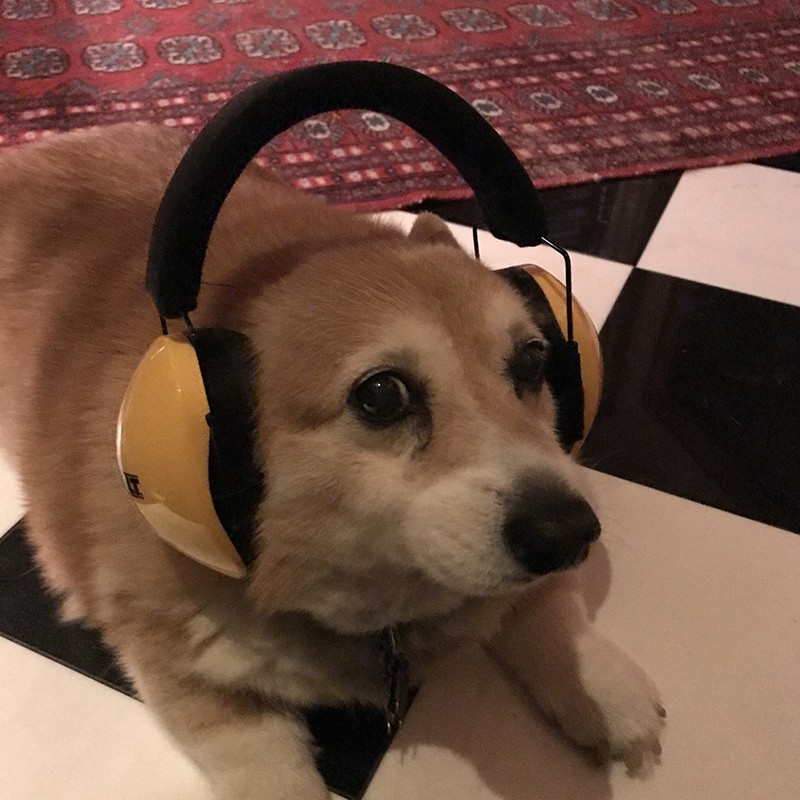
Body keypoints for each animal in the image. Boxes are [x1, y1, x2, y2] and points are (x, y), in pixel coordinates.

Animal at [0, 123, 664, 799]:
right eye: (382, 394)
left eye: (533, 361)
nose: (570, 534)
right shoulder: (179, 663)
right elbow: (265, 767)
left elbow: (545, 606)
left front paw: (605, 691)